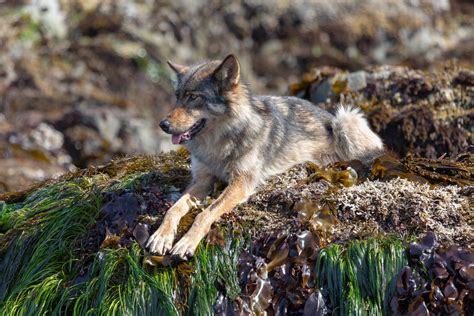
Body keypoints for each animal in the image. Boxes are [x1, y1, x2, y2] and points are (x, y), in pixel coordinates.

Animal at [146, 54, 384, 258]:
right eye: (177, 97)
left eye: (194, 97)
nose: (163, 124)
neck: (219, 142)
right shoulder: (202, 180)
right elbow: (174, 209)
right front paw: (161, 236)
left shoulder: (241, 182)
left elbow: (205, 213)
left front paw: (186, 242)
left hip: (346, 118)